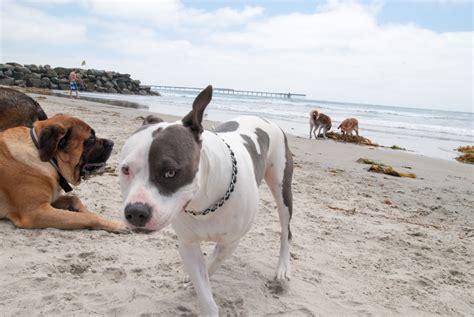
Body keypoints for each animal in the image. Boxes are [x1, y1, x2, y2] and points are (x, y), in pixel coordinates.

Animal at [0, 89, 127, 232]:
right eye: (90, 139)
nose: (112, 143)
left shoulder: (51, 200)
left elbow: (74, 198)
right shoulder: (36, 211)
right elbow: (86, 217)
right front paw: (115, 224)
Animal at [117, 85, 292, 314]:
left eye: (171, 172)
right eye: (125, 170)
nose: (136, 212)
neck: (203, 203)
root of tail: (263, 118)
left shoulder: (230, 243)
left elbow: (212, 264)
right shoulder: (188, 244)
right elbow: (204, 287)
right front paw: (196, 285)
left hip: (282, 189)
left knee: (285, 230)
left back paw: (282, 268)